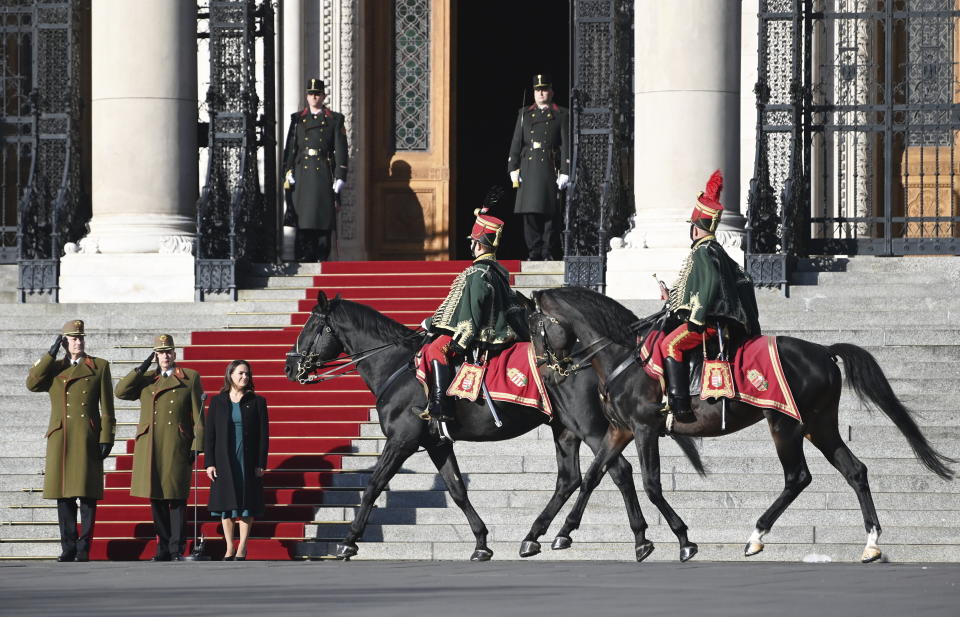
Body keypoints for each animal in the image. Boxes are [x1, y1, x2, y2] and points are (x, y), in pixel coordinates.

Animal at [284, 292, 704, 560]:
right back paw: (536, 536)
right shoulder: (437, 443)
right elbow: (456, 490)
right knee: (570, 478)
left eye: (311, 326)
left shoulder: (402, 439)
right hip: (564, 428)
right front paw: (481, 541)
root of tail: (590, 355)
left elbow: (373, 485)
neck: (397, 366)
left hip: (588, 426)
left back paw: (639, 538)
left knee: (617, 470)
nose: (290, 367)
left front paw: (349, 540)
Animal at [528, 286, 956, 560]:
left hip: (784, 424)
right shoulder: (620, 429)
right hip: (819, 425)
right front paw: (562, 533)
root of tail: (822, 350)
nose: (545, 371)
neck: (623, 358)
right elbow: (593, 476)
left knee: (797, 477)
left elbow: (650, 484)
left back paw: (756, 535)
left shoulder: (645, 428)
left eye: (534, 328)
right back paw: (871, 542)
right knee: (855, 470)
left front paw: (682, 539)